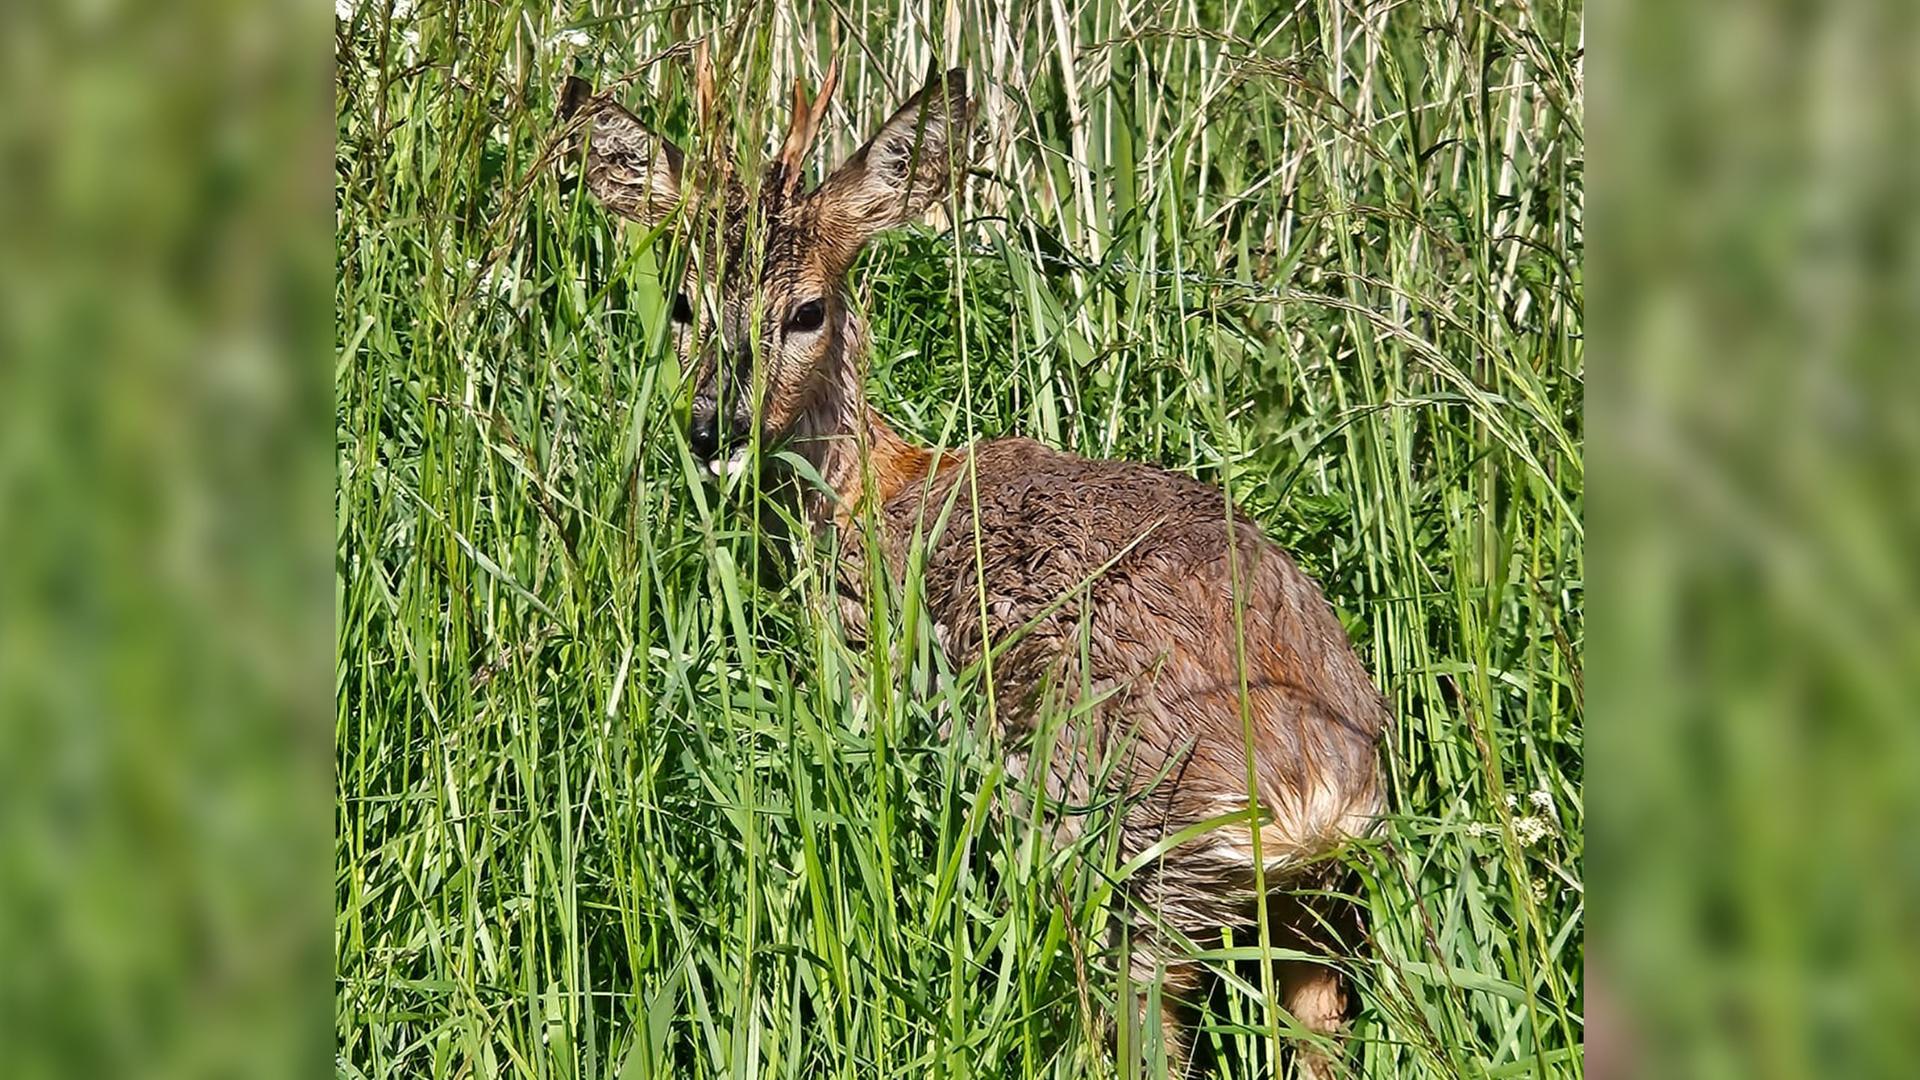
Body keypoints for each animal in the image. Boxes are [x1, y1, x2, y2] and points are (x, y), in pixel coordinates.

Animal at [561, 58, 1388, 1077]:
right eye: (681, 303)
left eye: (807, 310)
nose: (714, 431)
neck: (869, 497)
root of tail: (1316, 789)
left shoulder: (868, 672)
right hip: (1315, 905)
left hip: (1123, 851)